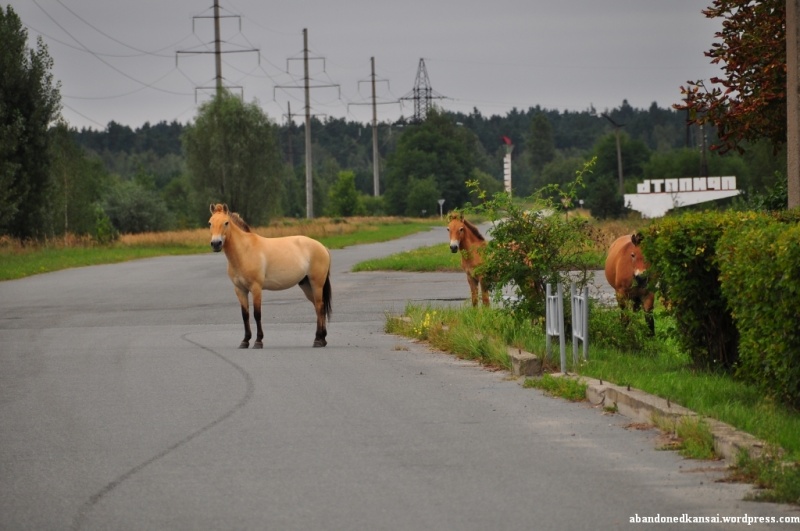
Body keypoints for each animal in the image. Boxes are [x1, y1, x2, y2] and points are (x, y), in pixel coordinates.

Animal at [208, 203, 332, 348]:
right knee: (319, 308)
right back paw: (322, 339)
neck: (244, 251)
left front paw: (258, 341)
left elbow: (257, 314)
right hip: (306, 285)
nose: (216, 244)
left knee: (319, 307)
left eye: (226, 222)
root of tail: (322, 247)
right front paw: (245, 341)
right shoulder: (240, 290)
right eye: (210, 223)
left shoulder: (256, 288)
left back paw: (318, 340)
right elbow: (245, 315)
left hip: (316, 284)